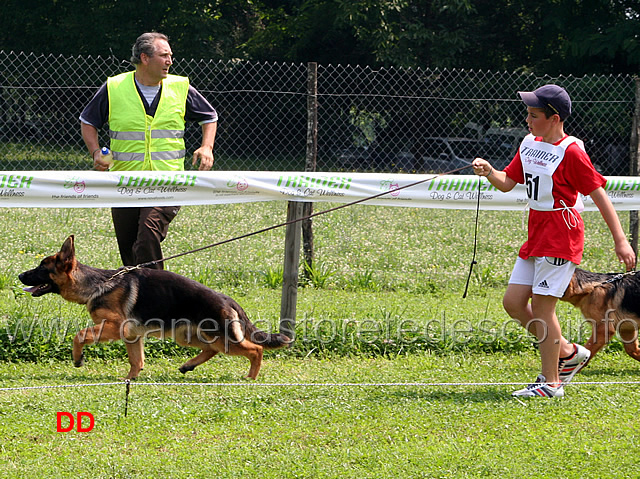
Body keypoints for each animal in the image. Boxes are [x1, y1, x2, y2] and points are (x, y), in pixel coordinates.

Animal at [18, 235, 290, 378]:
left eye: (42, 268)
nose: (20, 276)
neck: (96, 284)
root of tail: (227, 299)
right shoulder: (131, 336)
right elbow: (136, 361)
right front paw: (130, 381)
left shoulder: (113, 327)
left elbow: (79, 335)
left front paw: (77, 359)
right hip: (189, 337)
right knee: (212, 350)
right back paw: (189, 365)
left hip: (221, 338)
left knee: (255, 350)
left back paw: (250, 377)